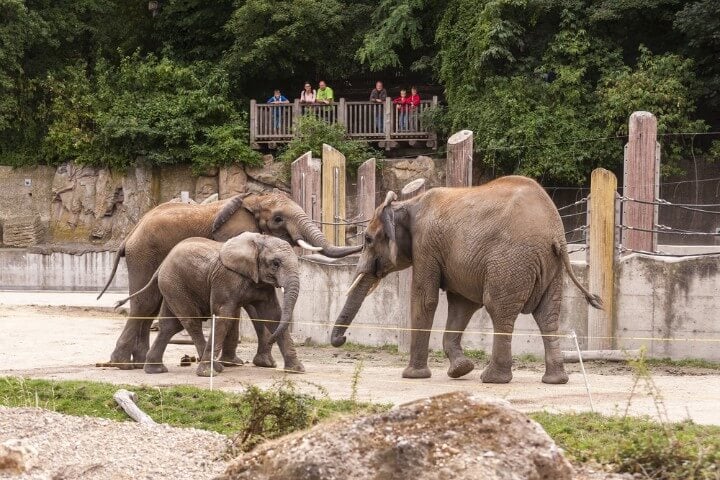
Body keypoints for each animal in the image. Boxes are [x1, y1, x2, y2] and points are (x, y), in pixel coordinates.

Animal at [116, 232, 302, 376]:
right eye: (275, 263)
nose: (270, 340)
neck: (258, 241)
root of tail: (162, 264)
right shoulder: (227, 278)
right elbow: (223, 317)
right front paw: (207, 373)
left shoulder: (261, 283)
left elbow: (273, 316)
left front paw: (296, 370)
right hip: (176, 285)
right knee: (191, 322)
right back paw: (213, 369)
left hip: (172, 287)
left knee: (170, 326)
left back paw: (155, 370)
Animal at [332, 178, 600, 384]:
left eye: (367, 239)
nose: (341, 340)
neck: (406, 204)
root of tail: (556, 234)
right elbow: (462, 306)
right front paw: (460, 369)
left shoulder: (426, 245)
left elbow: (425, 300)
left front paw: (413, 376)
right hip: (552, 267)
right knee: (547, 314)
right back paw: (555, 380)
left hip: (510, 260)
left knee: (498, 308)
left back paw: (493, 379)